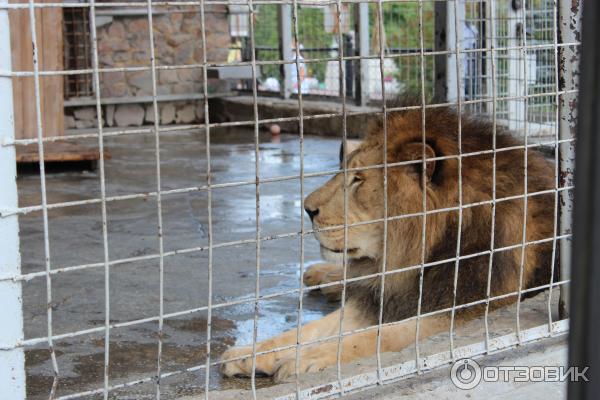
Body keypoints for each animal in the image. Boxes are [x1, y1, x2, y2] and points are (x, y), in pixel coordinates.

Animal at [220, 101, 556, 382]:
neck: (417, 257)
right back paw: (323, 276)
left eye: (358, 179)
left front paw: (305, 359)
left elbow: (379, 336)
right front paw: (250, 353)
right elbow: (310, 330)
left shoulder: (463, 310)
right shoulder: (384, 297)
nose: (307, 208)